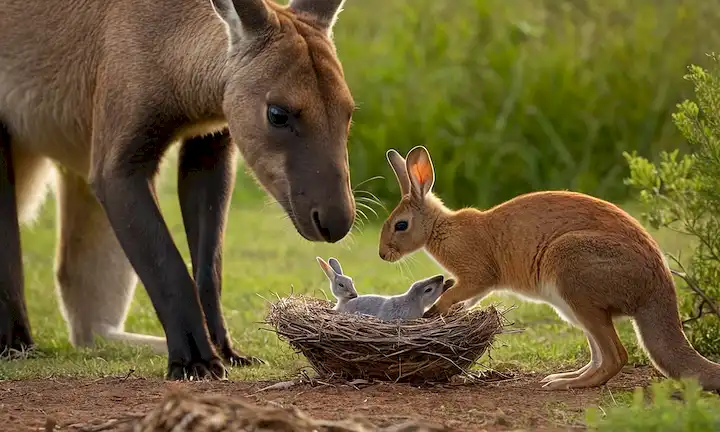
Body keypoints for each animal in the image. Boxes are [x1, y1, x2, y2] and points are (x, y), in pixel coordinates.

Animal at [377, 145, 720, 392]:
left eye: (400, 225)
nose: (382, 255)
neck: (442, 228)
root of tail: (658, 288)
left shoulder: (478, 276)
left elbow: (460, 292)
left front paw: (436, 310)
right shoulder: (473, 285)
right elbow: (463, 298)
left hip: (571, 274)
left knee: (615, 356)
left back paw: (563, 384)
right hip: (573, 307)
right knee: (602, 356)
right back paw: (563, 378)